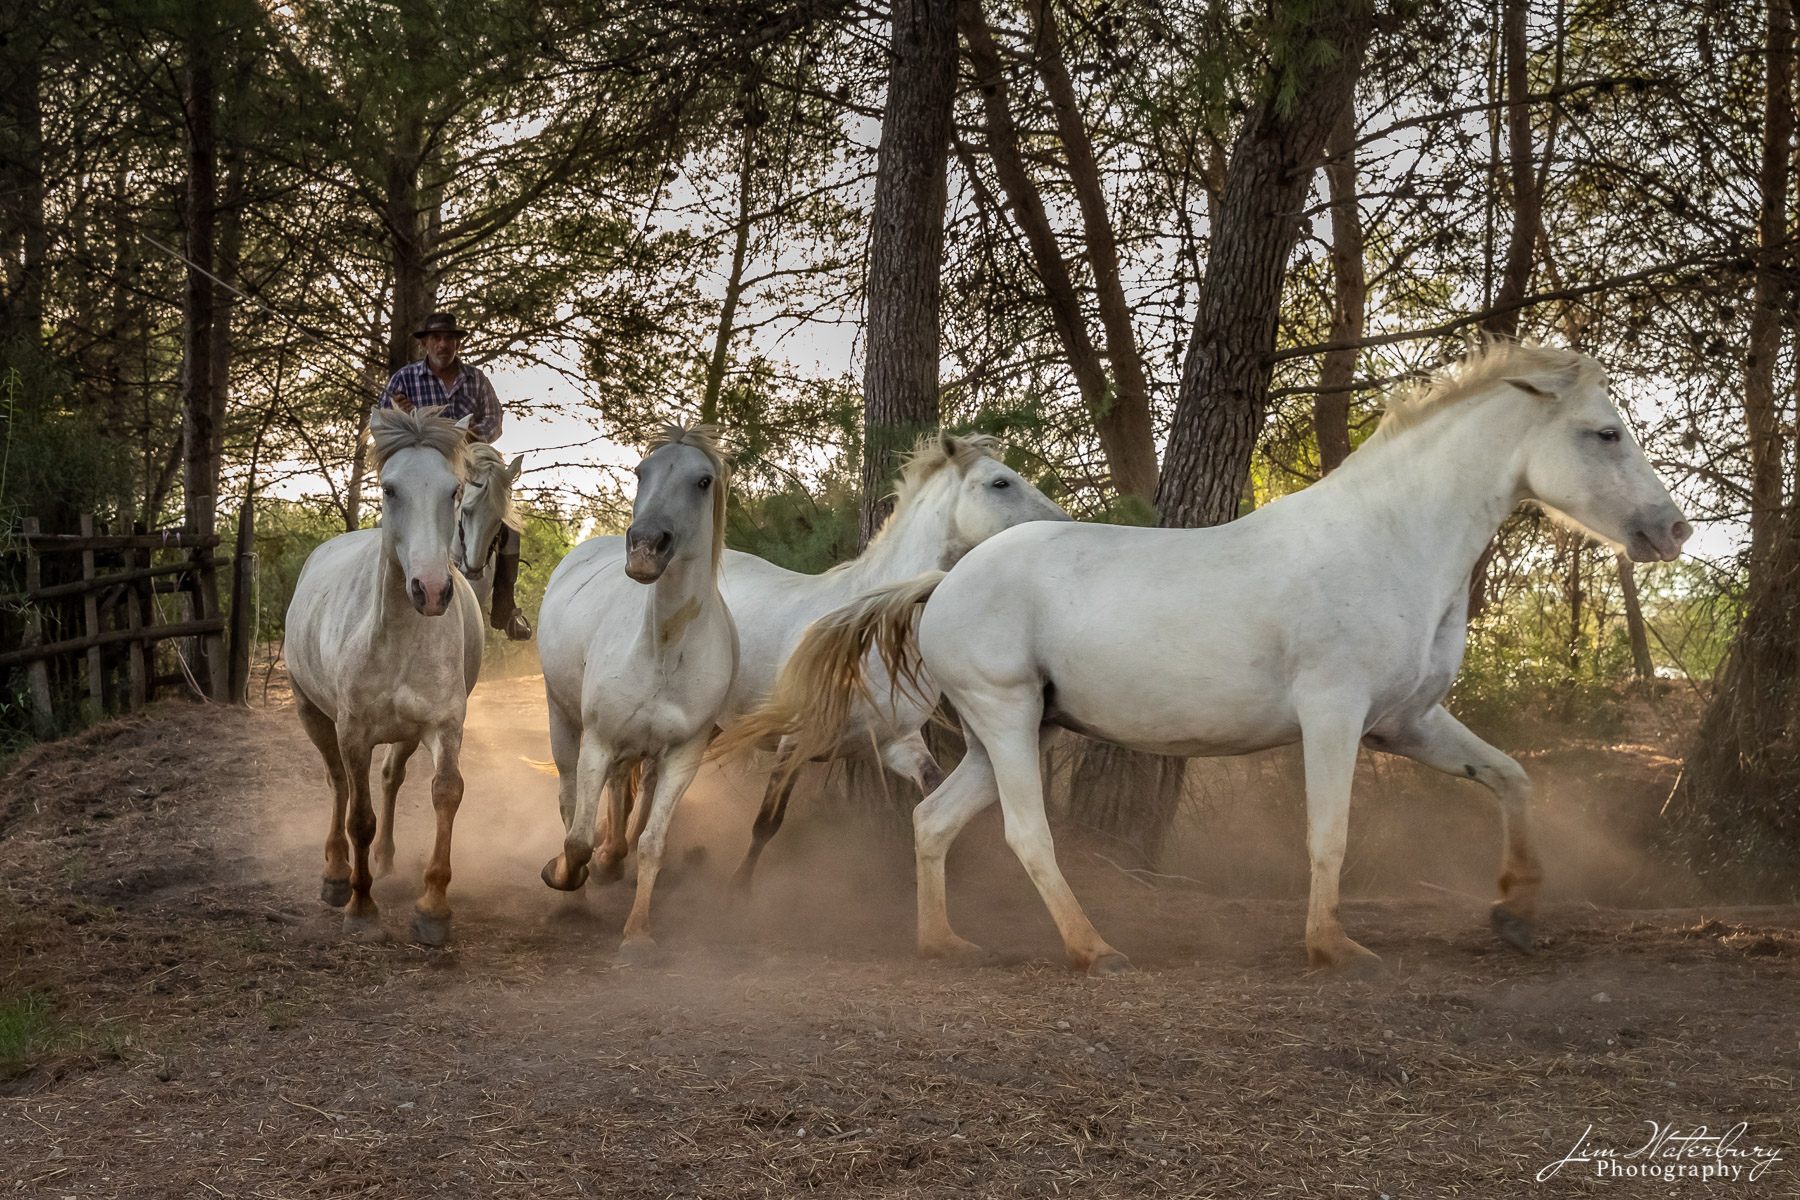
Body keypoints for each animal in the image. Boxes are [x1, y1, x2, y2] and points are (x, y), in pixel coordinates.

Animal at [282, 408, 482, 942]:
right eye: (390, 489)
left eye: (454, 490)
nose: (430, 589)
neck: (398, 642)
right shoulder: (353, 732)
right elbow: (359, 816)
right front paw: (360, 905)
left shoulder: (442, 726)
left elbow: (446, 794)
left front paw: (433, 907)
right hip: (312, 714)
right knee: (338, 784)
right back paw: (335, 875)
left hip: (405, 733)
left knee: (392, 778)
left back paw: (387, 862)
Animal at [532, 426, 730, 964]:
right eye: (641, 472)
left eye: (703, 480)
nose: (644, 547)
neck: (663, 648)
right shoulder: (598, 741)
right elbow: (577, 840)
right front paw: (563, 874)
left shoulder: (683, 756)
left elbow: (652, 843)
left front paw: (638, 934)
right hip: (563, 720)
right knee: (568, 800)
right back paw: (576, 894)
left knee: (625, 796)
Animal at [705, 437, 1065, 888]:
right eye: (1001, 482)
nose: (1065, 526)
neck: (868, 634)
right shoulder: (795, 742)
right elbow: (766, 824)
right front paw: (738, 889)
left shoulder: (898, 743)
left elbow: (933, 789)